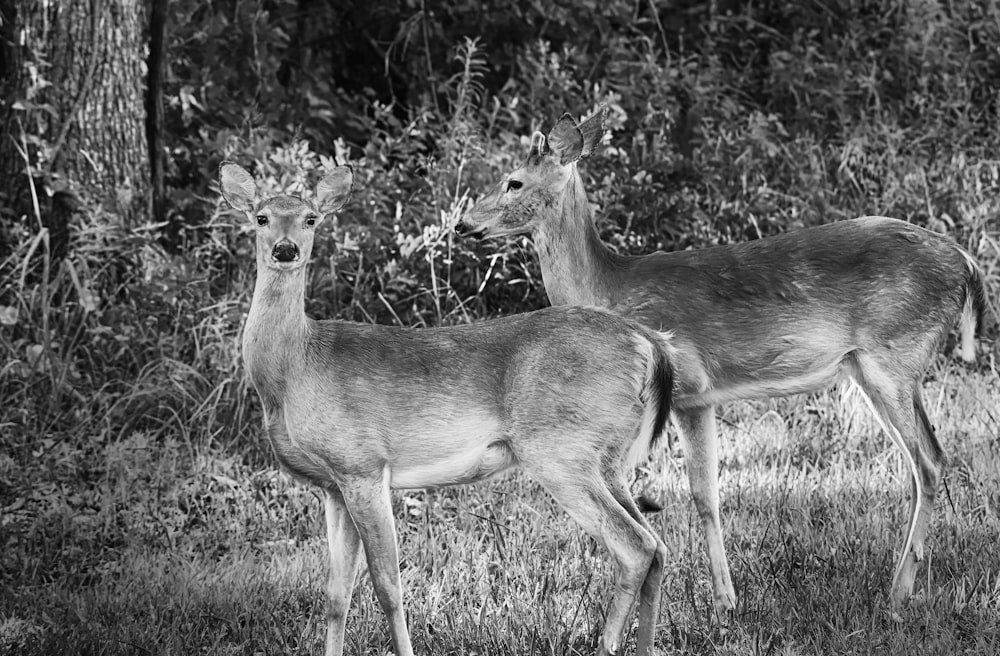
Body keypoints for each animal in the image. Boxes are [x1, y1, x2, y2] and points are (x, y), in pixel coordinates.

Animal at [219, 160, 680, 656]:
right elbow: (336, 593)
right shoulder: (333, 486)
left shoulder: (363, 465)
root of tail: (648, 343)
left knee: (635, 546)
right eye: (261, 217)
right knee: (658, 546)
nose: (285, 250)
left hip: (559, 449)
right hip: (608, 457)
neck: (295, 368)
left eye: (310, 219)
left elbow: (388, 585)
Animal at [458, 106, 988, 616]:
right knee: (921, 462)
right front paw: (726, 600)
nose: (463, 224)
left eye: (513, 181)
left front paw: (721, 603)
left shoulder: (685, 387)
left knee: (930, 461)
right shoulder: (700, 399)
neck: (609, 287)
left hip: (894, 356)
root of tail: (966, 263)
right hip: (872, 368)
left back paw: (897, 597)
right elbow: (707, 495)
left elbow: (693, 493)